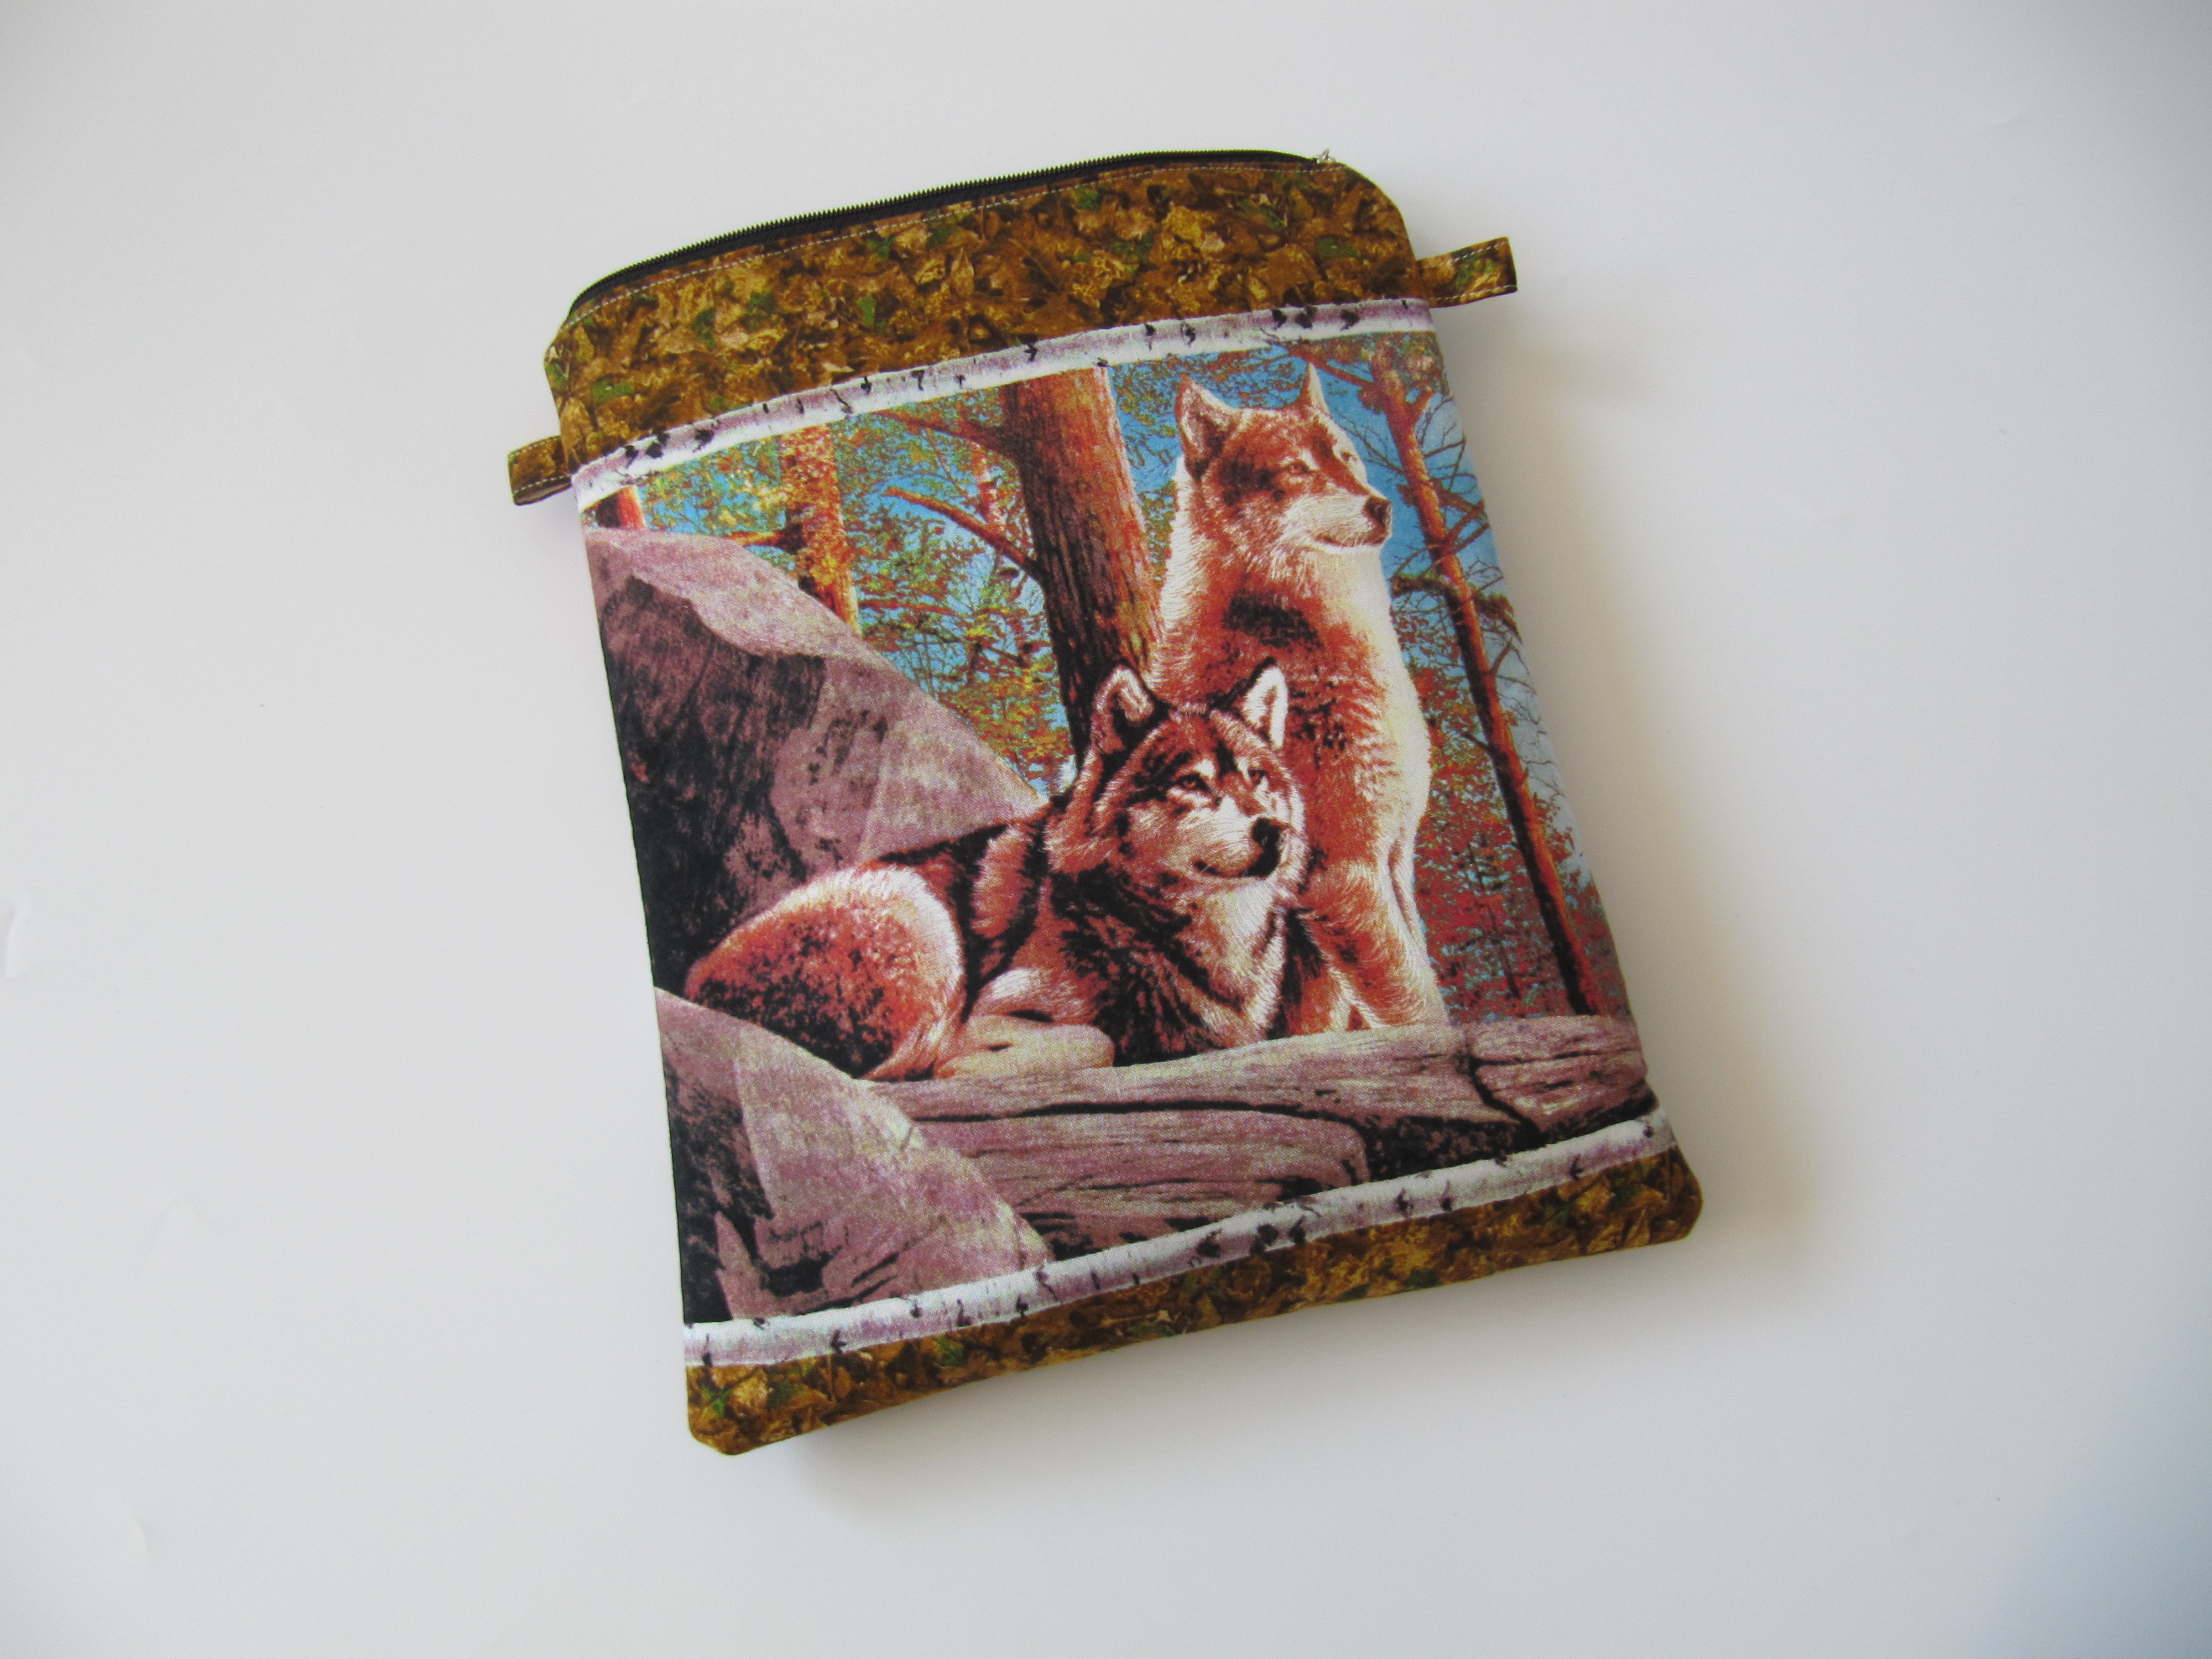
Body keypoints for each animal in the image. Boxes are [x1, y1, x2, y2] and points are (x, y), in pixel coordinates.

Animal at [683, 662, 1349, 1079]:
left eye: (1257, 778)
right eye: (1193, 783)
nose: (1274, 830)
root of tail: (692, 980)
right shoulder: (993, 1009)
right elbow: (1097, 1038)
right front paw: (968, 1067)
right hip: (923, 918)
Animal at [1150, 366, 1448, 1029]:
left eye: (1345, 458)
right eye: (1296, 470)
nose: (1382, 505)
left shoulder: (1395, 862)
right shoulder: (1344, 875)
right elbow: (1421, 1005)